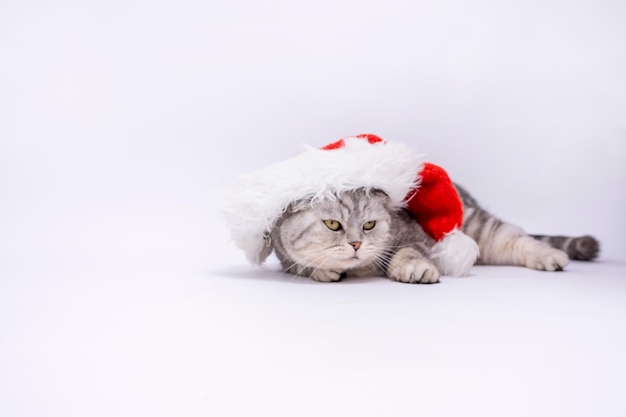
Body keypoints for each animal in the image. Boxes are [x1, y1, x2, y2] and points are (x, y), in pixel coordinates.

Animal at [270, 186, 596, 282]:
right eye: (333, 225)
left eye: (369, 225)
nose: (356, 244)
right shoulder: (282, 253)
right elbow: (298, 264)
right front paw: (321, 270)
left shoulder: (415, 236)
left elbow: (408, 252)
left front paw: (414, 268)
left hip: (481, 228)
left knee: (519, 239)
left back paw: (552, 256)